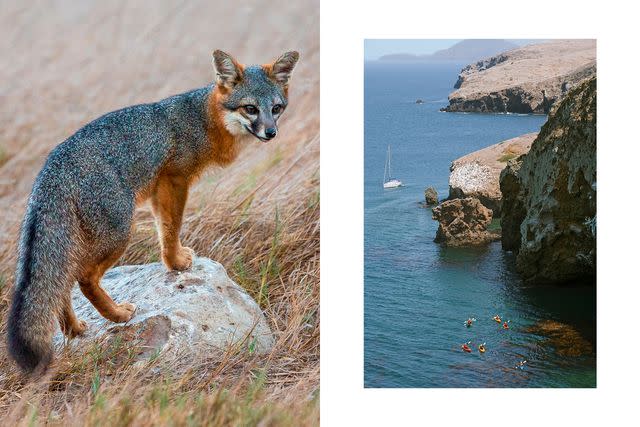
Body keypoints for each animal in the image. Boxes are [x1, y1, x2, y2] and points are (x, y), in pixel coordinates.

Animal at [7, 48, 298, 372]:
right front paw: (177, 263)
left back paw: (74, 328)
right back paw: (117, 314)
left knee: (62, 283)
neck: (204, 118)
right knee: (84, 278)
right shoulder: (175, 180)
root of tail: (52, 167)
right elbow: (172, 227)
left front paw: (173, 261)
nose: (271, 132)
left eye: (276, 108)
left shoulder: (160, 189)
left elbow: (163, 228)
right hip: (119, 233)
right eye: (250, 109)